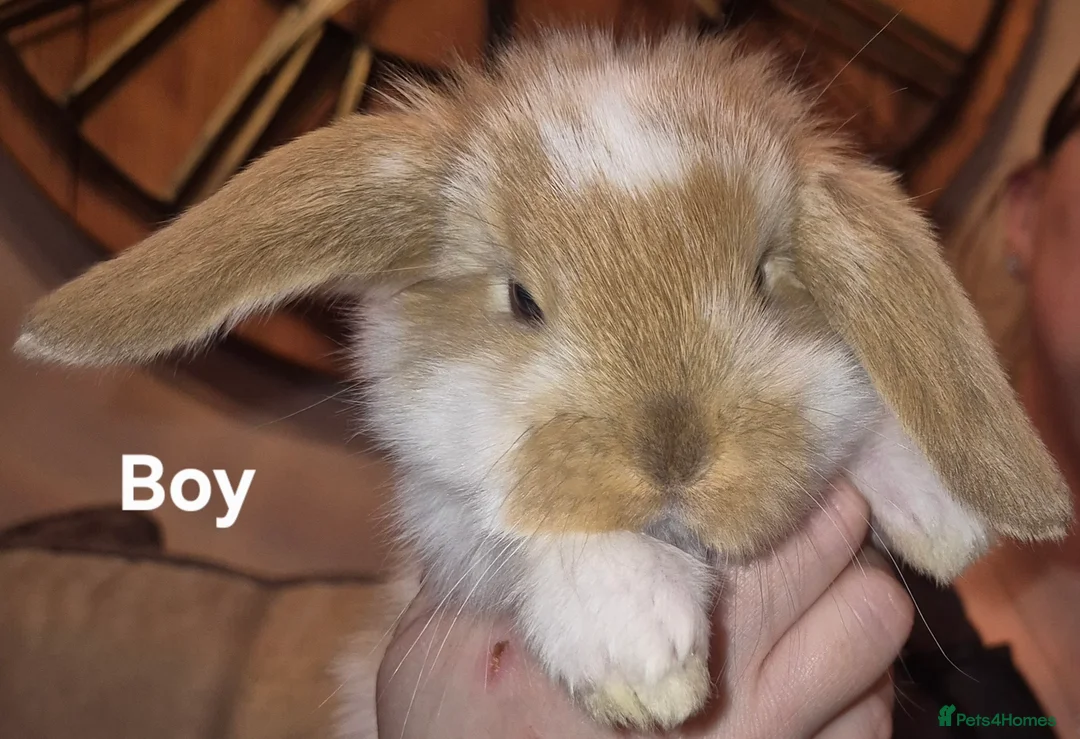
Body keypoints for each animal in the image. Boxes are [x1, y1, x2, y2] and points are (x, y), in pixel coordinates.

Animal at [14, 29, 1074, 732]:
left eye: (765, 276)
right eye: (521, 298)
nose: (675, 454)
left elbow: (855, 410)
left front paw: (942, 511)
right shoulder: (443, 515)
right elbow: (525, 527)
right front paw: (642, 650)